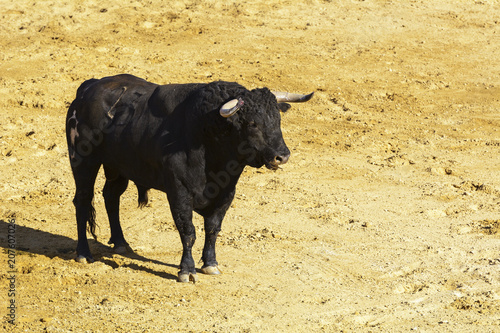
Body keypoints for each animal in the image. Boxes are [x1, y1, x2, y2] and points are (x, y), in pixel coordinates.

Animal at [66, 74, 312, 282]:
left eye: (278, 120)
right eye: (252, 123)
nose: (282, 156)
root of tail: (88, 88)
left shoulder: (226, 192)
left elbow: (213, 228)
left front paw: (211, 264)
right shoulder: (179, 192)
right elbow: (188, 231)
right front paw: (187, 270)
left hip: (118, 166)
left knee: (111, 196)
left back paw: (120, 243)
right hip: (83, 161)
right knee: (83, 200)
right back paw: (83, 253)